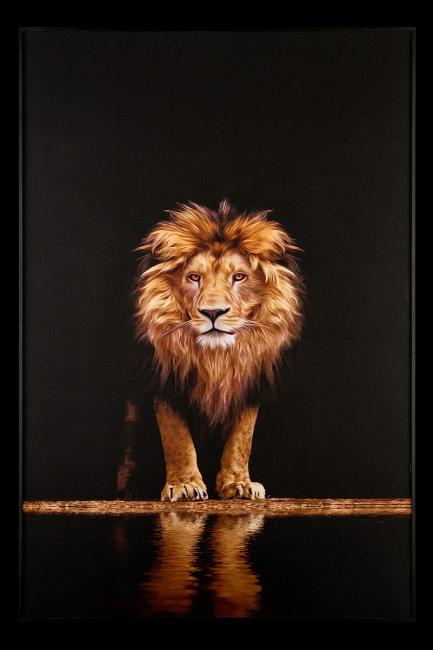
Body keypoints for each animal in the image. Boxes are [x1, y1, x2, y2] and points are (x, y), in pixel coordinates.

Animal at [116, 200, 303, 501]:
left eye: (239, 277)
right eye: (194, 277)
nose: (213, 312)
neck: (216, 358)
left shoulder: (249, 381)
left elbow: (242, 438)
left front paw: (239, 484)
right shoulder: (166, 380)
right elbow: (176, 437)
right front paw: (184, 485)